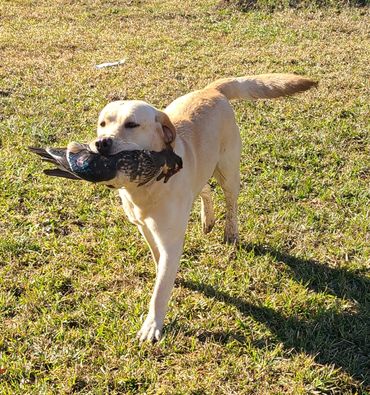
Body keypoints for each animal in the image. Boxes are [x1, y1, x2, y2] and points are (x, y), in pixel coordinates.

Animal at [89, 74, 316, 344]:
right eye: (103, 123)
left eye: (132, 124)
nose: (102, 143)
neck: (145, 187)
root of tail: (212, 89)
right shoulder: (145, 228)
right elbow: (158, 260)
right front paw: (163, 271)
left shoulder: (171, 239)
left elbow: (160, 291)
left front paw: (152, 324)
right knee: (204, 189)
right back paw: (207, 219)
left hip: (228, 170)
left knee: (231, 202)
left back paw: (230, 231)